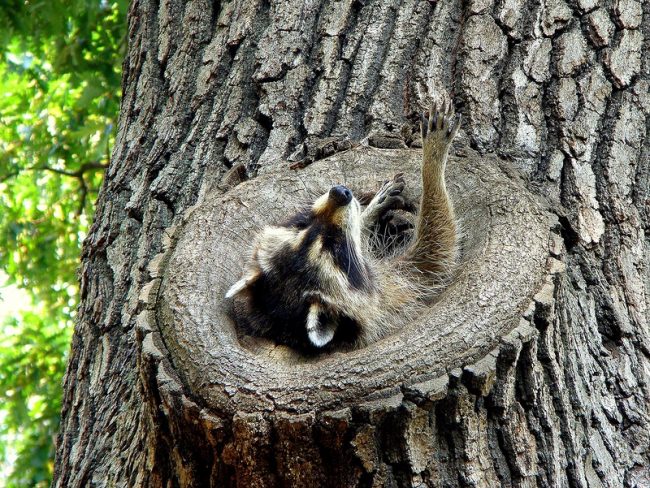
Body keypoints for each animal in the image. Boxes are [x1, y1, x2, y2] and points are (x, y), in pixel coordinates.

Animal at [226, 101, 460, 352]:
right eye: (335, 248)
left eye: (301, 224)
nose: (339, 193)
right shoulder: (394, 291)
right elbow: (437, 246)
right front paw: (433, 160)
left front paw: (367, 213)